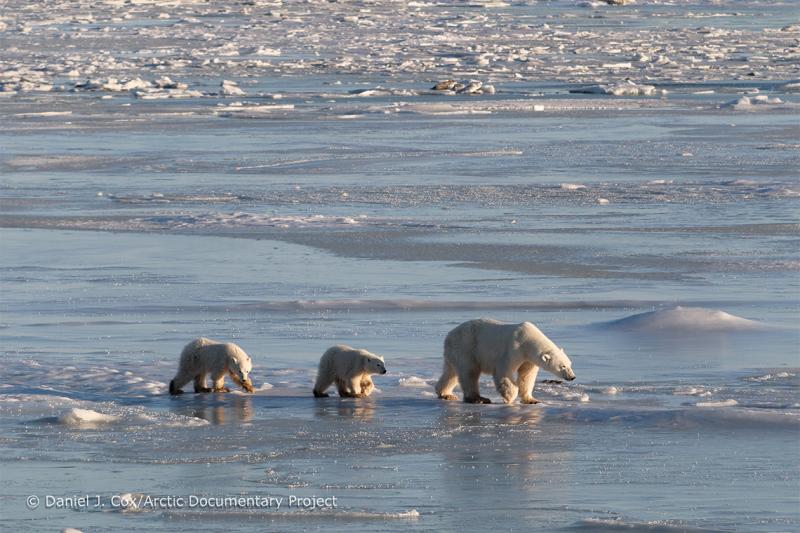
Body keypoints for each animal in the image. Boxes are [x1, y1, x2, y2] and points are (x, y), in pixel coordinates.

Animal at [438, 318, 576, 402]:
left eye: (570, 364)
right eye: (563, 366)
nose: (572, 377)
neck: (528, 340)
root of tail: (448, 336)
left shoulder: (528, 359)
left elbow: (527, 376)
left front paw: (531, 400)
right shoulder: (514, 347)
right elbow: (504, 370)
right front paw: (510, 397)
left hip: (454, 352)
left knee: (451, 373)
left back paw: (446, 394)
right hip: (466, 347)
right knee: (469, 372)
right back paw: (478, 398)